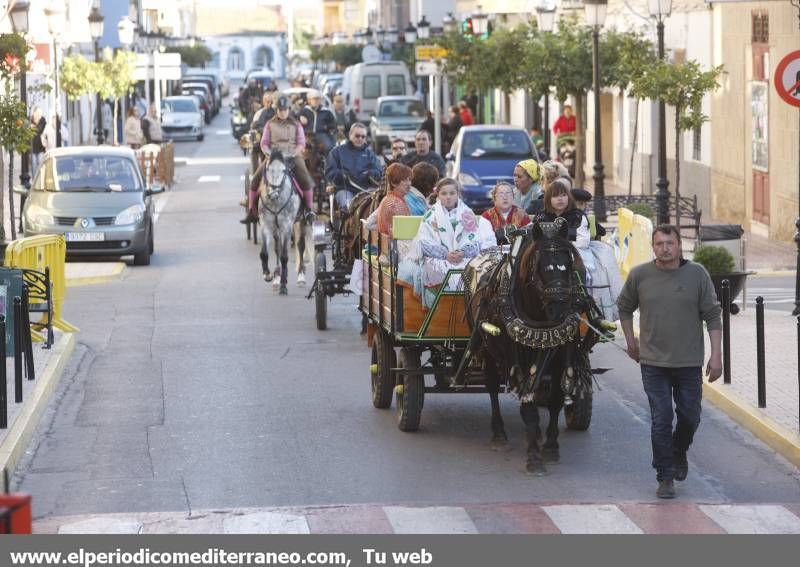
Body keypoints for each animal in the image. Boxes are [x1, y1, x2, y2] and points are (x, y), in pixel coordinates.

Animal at [260, 149, 314, 296]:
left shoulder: (286, 226)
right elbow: (264, 253)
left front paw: (284, 285)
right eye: (268, 169)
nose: (273, 194)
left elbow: (285, 257)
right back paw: (277, 278)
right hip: (276, 228)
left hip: (300, 221)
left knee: (300, 245)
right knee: (277, 248)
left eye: (284, 170)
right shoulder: (266, 225)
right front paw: (268, 275)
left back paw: (300, 277)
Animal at [462, 220, 600, 478]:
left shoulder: (560, 355)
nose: (561, 311)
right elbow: (528, 404)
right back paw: (499, 434)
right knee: (492, 386)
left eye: (569, 263)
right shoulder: (517, 359)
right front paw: (534, 456)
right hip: (486, 347)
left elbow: (556, 397)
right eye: (539, 266)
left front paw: (550, 446)